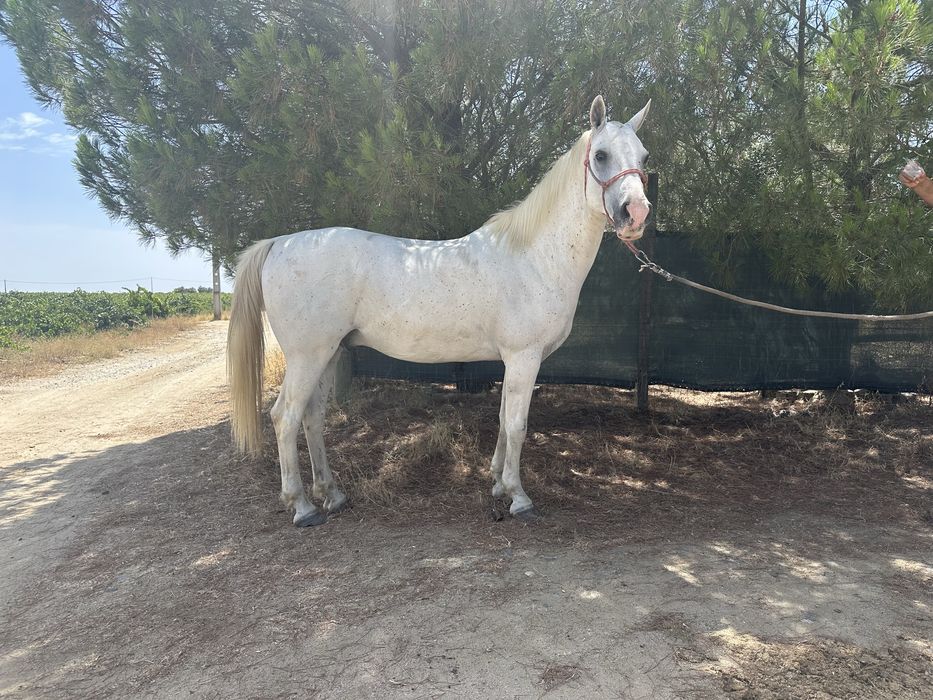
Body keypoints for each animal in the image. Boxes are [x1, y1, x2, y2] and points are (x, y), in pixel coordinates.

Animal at [227, 95, 652, 527]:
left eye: (644, 157)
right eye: (600, 155)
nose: (636, 213)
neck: (533, 256)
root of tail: (279, 243)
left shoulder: (511, 361)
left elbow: (503, 419)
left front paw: (497, 484)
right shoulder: (524, 357)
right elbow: (517, 425)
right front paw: (519, 497)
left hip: (327, 354)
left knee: (312, 417)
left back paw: (331, 494)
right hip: (307, 356)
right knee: (285, 417)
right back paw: (301, 506)